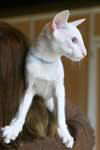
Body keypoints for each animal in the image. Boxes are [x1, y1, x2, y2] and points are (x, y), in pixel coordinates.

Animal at [1, 9, 86, 148]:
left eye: (81, 40)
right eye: (74, 40)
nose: (85, 53)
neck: (47, 61)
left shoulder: (59, 89)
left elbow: (61, 115)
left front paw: (65, 134)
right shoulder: (29, 89)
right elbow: (22, 110)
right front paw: (14, 129)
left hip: (51, 100)